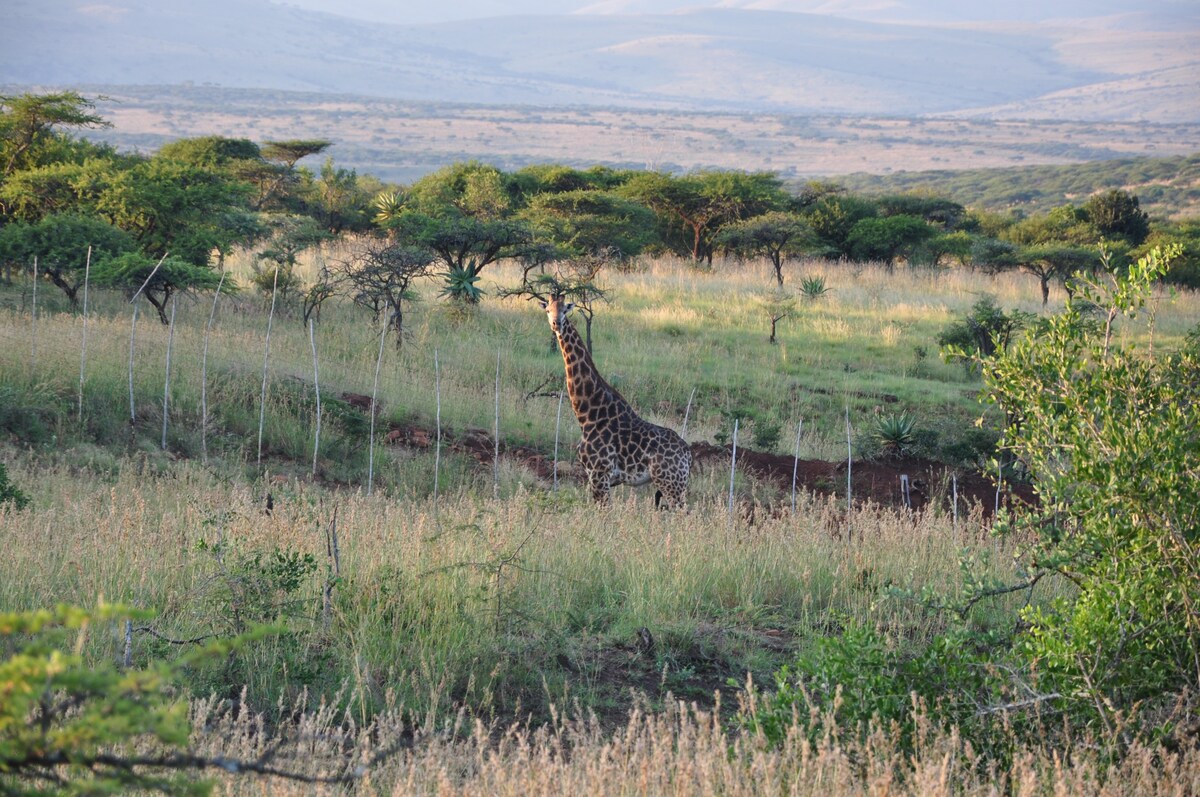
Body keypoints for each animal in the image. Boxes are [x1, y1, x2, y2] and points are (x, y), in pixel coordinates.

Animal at [540, 295, 691, 506]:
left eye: (564, 310)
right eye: (548, 310)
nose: (556, 324)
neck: (588, 413)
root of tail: (688, 454)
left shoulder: (599, 473)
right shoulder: (597, 478)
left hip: (671, 482)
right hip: (674, 484)